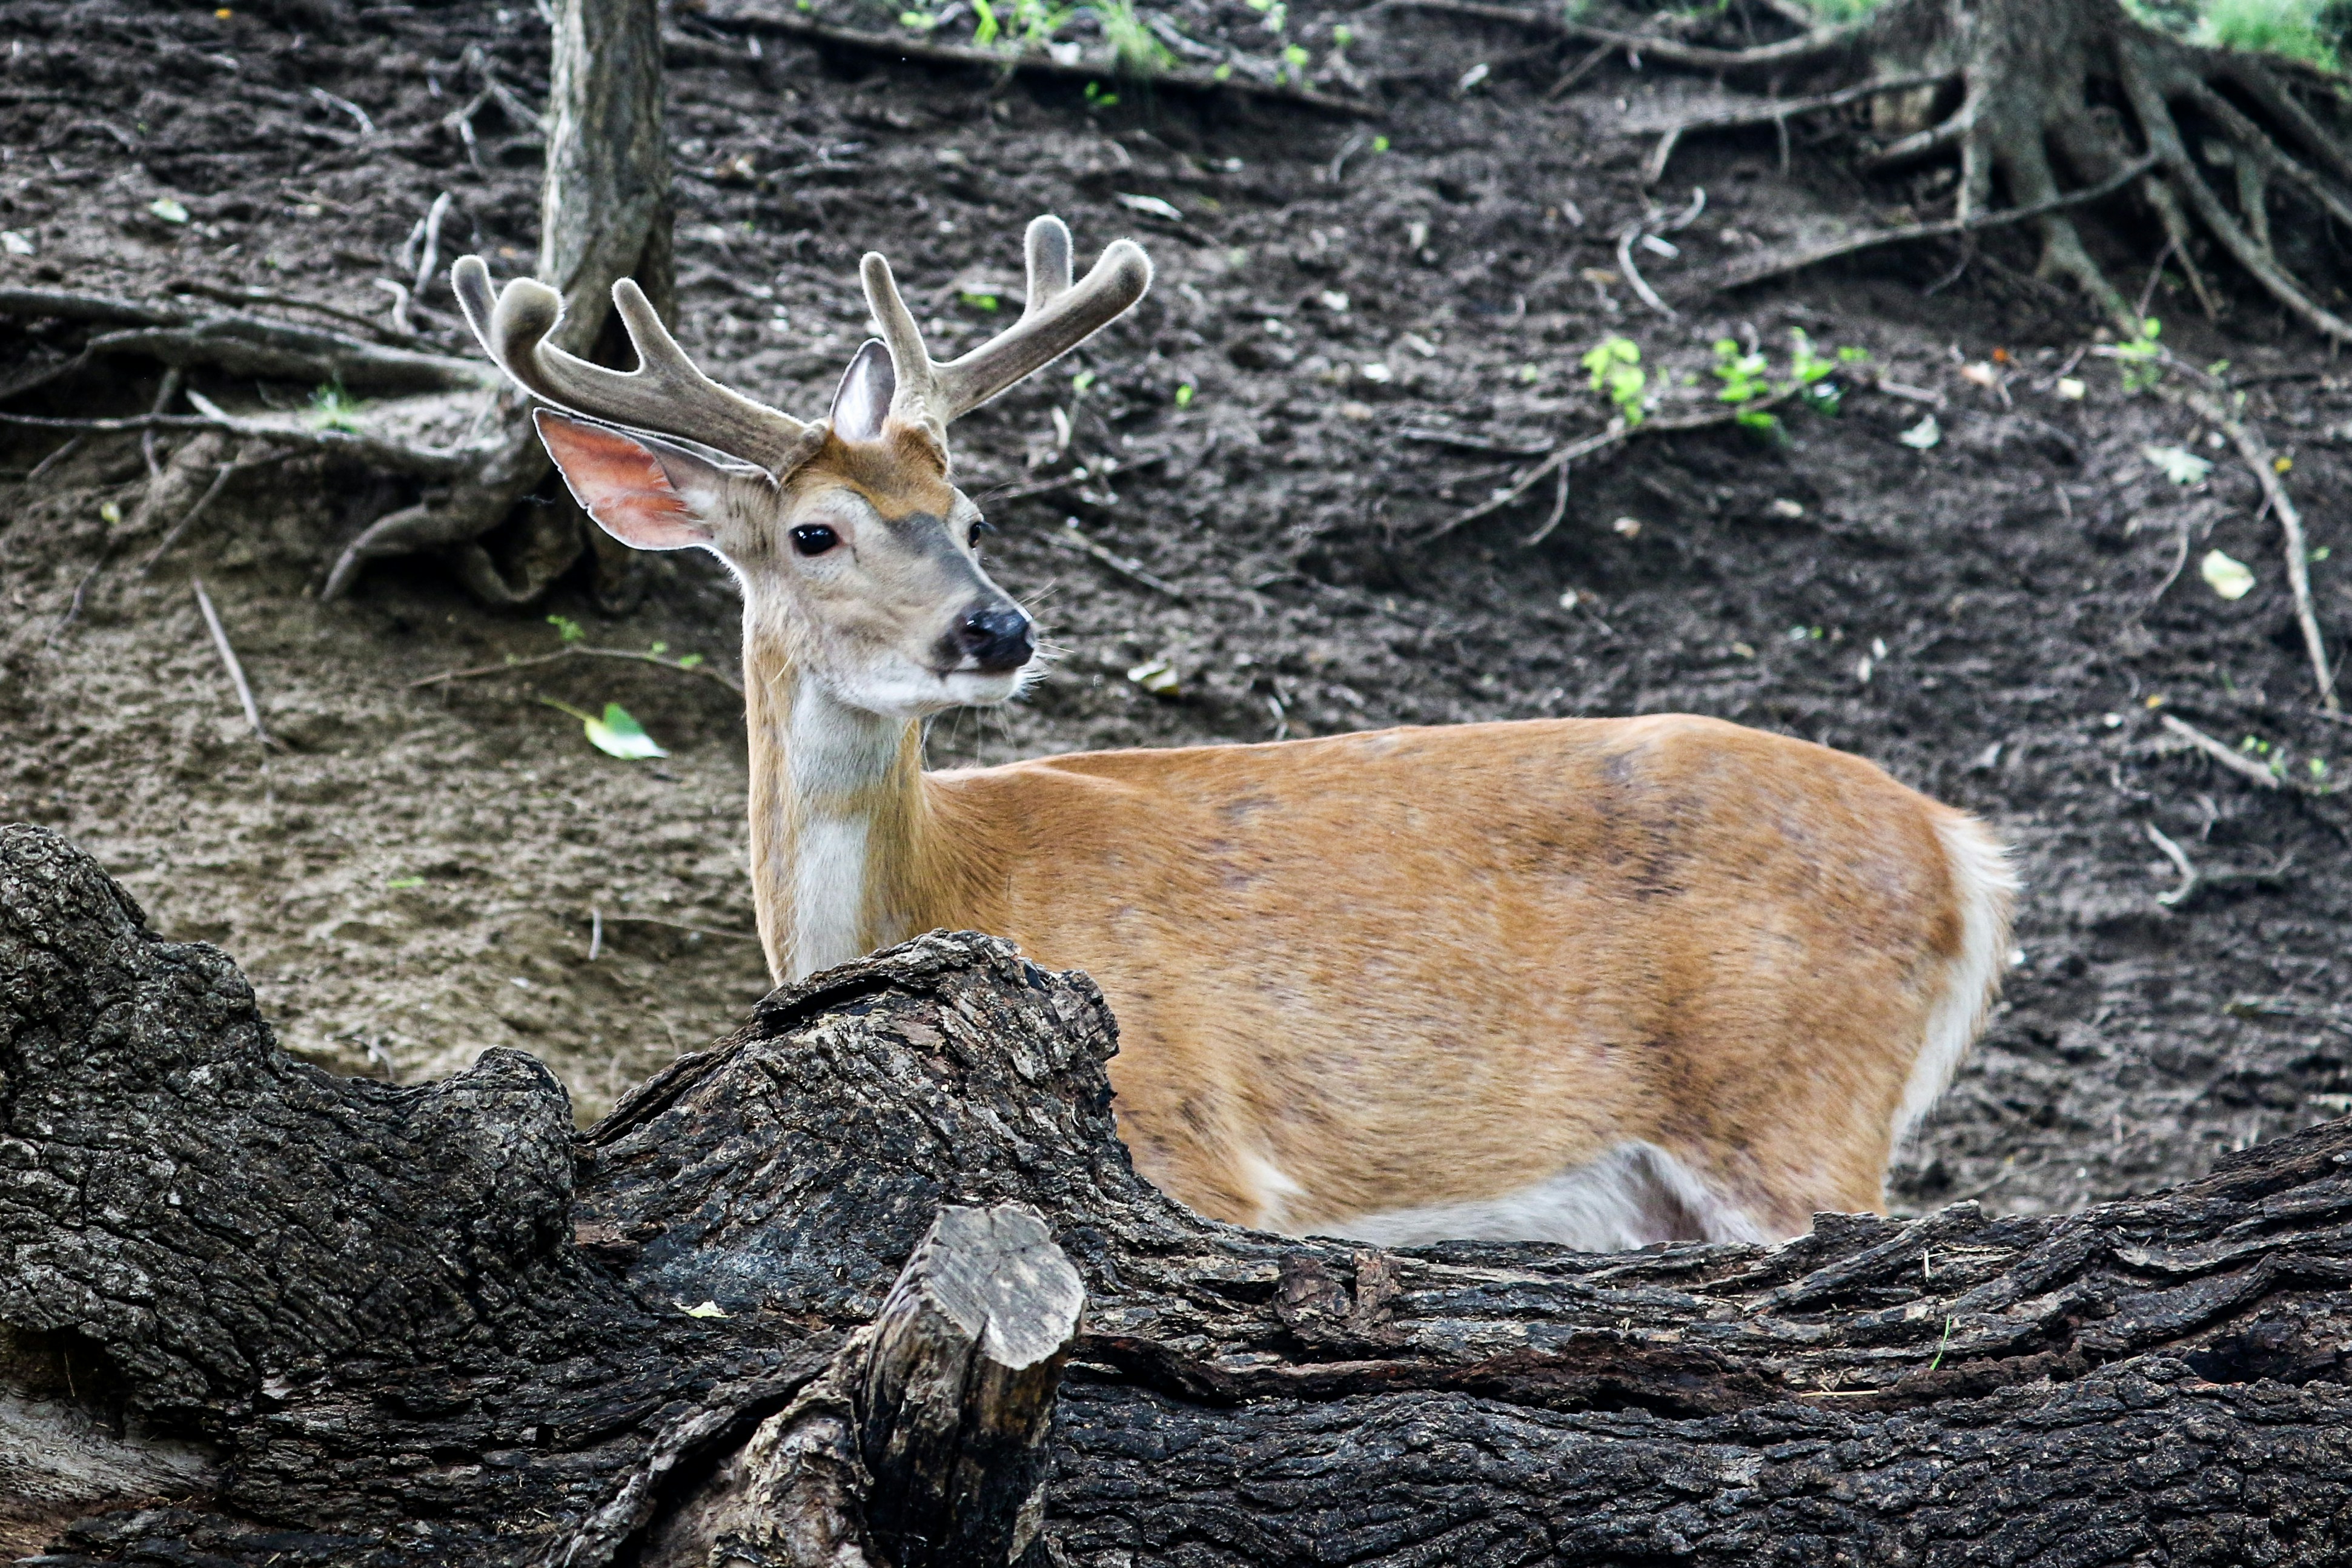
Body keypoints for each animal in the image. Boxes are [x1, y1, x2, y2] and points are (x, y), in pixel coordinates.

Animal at [449, 215, 2015, 1252]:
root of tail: (1963, 852)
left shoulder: (1192, 1133)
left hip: (1795, 1102)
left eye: (968, 518)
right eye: (815, 533)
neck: (932, 889)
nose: (996, 629)